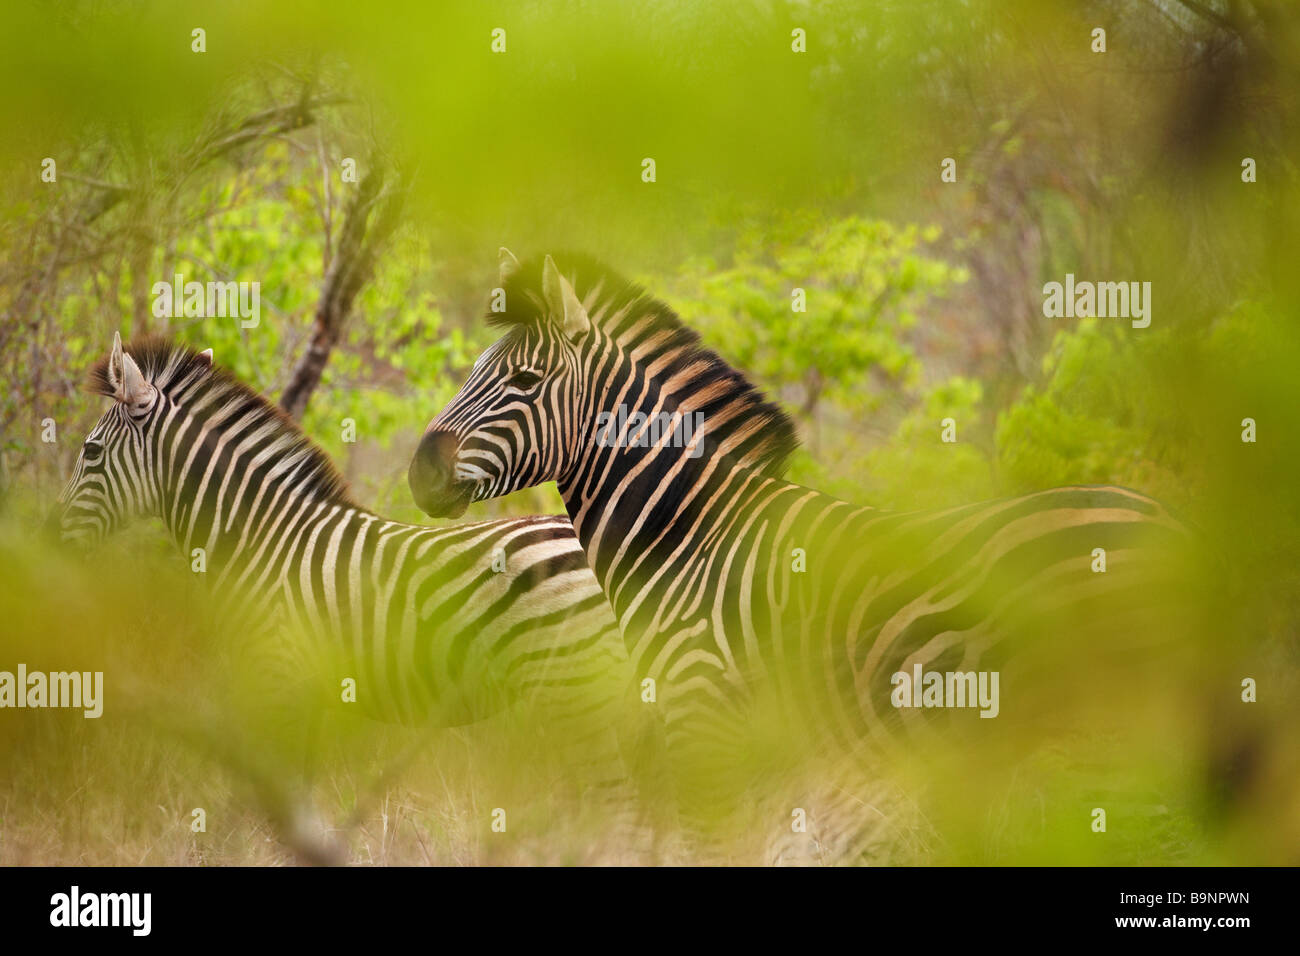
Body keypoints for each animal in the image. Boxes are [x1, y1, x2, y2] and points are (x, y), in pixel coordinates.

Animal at [50, 335, 639, 858]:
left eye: (91, 452)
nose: (55, 537)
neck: (261, 538)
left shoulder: (277, 677)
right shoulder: (305, 689)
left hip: (577, 688)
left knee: (617, 803)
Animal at [410, 251, 1201, 863]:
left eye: (524, 383)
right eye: (474, 370)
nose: (419, 472)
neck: (689, 540)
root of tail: (1175, 523)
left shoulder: (704, 723)